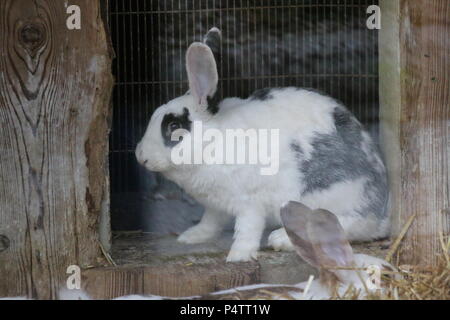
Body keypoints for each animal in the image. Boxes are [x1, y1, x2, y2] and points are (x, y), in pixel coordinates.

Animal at [134, 26, 390, 262]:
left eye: (173, 126)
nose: (140, 156)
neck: (213, 141)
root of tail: (383, 209)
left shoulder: (250, 203)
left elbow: (247, 230)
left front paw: (237, 257)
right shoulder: (215, 206)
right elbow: (210, 221)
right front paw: (191, 237)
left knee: (346, 225)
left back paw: (281, 239)